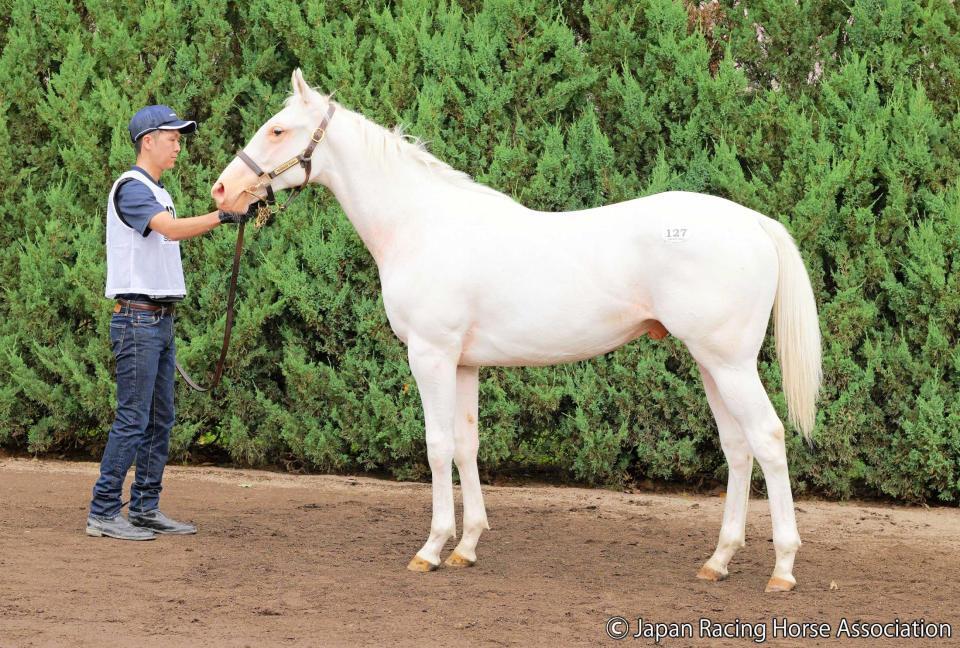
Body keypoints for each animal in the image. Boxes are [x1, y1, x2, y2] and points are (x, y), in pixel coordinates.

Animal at [214, 69, 820, 592]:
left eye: (277, 129)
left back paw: (784, 569)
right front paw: (466, 546)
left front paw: (431, 549)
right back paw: (718, 560)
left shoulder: (431, 357)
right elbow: (466, 445)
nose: (223, 192)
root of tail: (753, 222)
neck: (421, 225)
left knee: (768, 440)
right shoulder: (463, 364)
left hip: (729, 363)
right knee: (738, 448)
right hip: (710, 363)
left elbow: (437, 446)